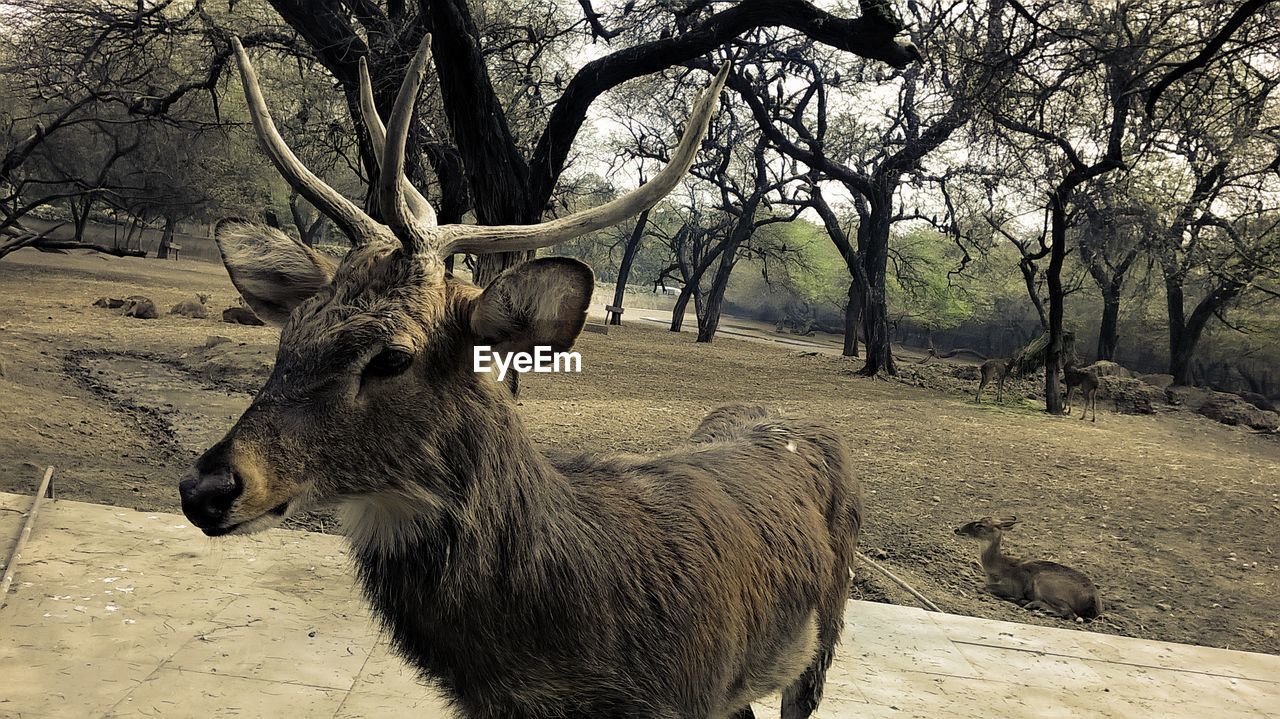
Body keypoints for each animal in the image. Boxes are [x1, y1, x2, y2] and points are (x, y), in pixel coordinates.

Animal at [957, 511, 1105, 619]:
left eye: (980, 525)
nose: (957, 529)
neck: (998, 569)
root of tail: (1093, 602)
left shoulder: (1013, 586)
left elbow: (982, 587)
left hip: (1045, 582)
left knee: (1069, 613)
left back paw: (1034, 605)